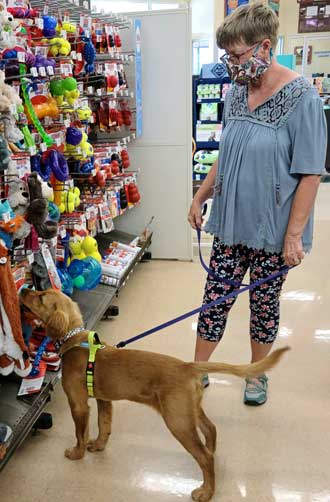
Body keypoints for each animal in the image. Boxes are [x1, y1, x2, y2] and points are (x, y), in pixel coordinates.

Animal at [21, 288, 288, 500]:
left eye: (41, 297)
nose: (24, 288)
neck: (76, 341)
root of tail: (187, 366)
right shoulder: (104, 400)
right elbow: (104, 426)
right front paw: (97, 446)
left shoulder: (78, 403)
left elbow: (80, 432)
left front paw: (77, 454)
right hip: (188, 410)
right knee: (211, 430)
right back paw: (212, 459)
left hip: (177, 420)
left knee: (204, 457)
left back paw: (206, 492)